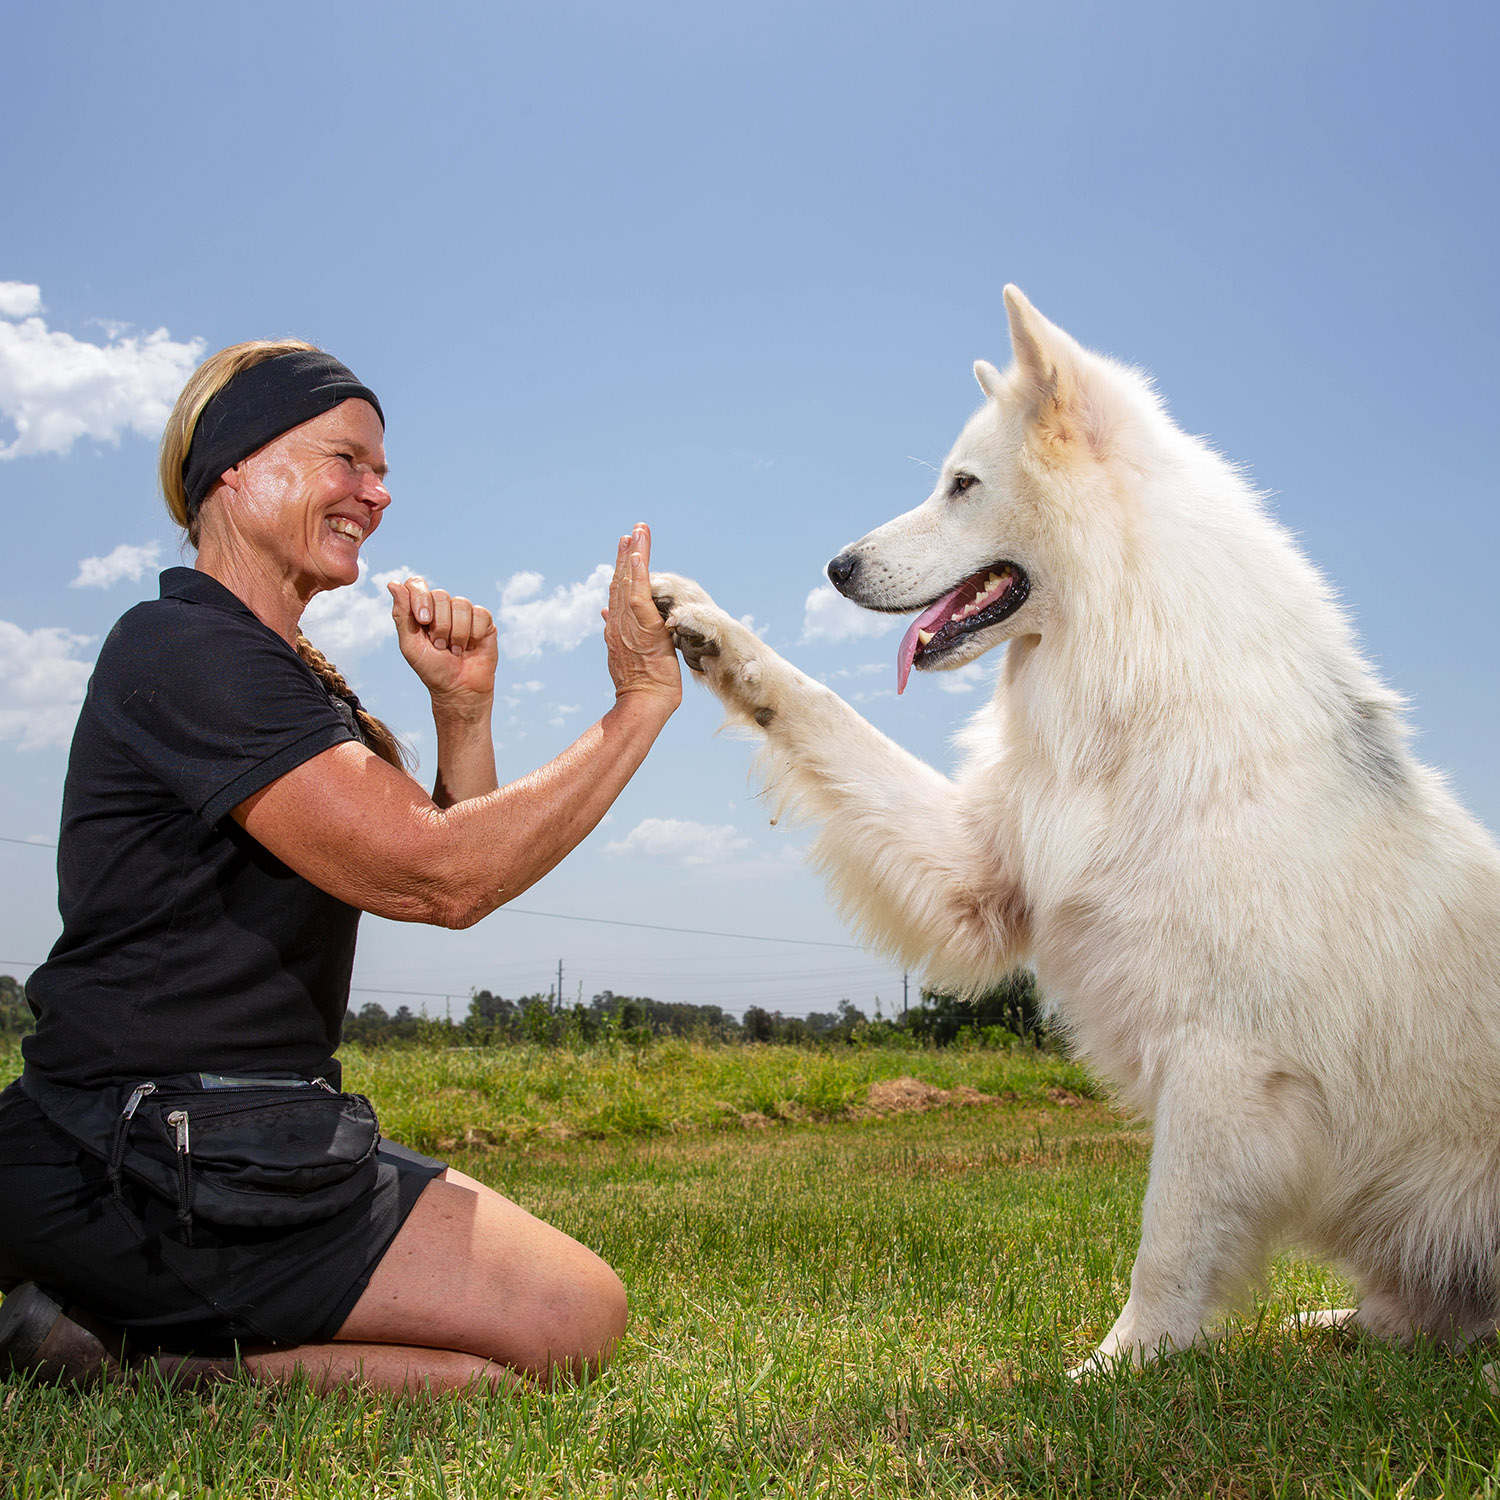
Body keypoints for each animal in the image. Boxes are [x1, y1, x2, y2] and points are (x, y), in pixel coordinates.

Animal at [651, 286, 1500, 1374]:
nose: (835, 567)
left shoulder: (1220, 1062)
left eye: (963, 484)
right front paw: (711, 630)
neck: (1132, 681)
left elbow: (1167, 1243)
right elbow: (818, 708)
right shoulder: (980, 877)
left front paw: (1115, 1371)